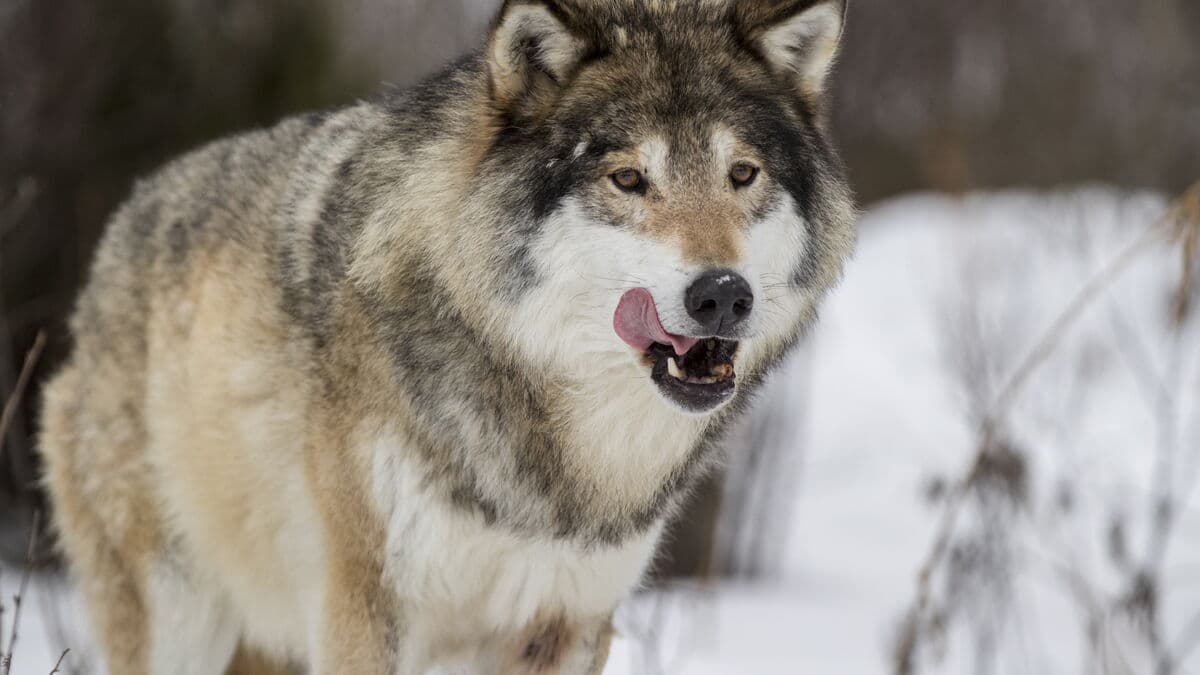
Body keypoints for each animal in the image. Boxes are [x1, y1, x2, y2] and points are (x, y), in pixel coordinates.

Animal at [36, 0, 855, 672]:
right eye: (628, 180)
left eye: (742, 174)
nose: (723, 295)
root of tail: (120, 226)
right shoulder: (365, 612)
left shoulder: (568, 624)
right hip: (178, 619)